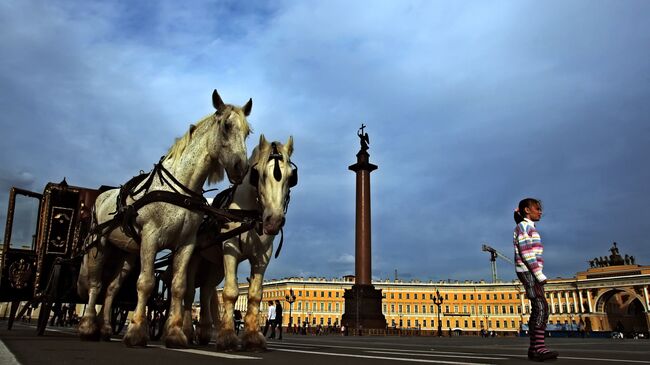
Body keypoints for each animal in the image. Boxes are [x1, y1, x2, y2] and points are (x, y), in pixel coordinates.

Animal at [78, 89, 253, 346]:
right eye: (226, 126)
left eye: (247, 132)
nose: (241, 168)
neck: (180, 189)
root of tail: (102, 195)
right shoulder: (151, 238)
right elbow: (146, 283)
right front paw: (136, 331)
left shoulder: (186, 244)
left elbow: (179, 287)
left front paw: (175, 334)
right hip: (99, 245)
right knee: (95, 284)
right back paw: (89, 326)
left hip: (128, 253)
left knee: (111, 288)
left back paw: (106, 328)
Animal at [181, 134, 294, 350]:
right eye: (258, 174)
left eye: (292, 177)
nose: (274, 220)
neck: (248, 215)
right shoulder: (230, 249)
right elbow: (231, 292)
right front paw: (227, 337)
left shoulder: (263, 256)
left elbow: (255, 295)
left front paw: (252, 337)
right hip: (194, 257)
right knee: (189, 292)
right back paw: (186, 331)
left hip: (215, 264)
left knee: (206, 292)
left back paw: (204, 332)